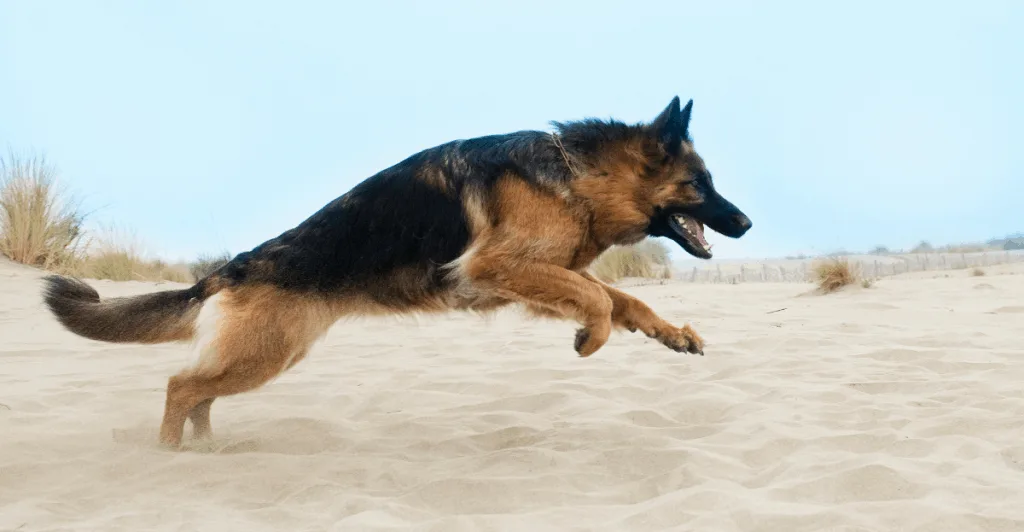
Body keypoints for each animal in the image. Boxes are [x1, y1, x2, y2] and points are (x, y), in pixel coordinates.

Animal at [41, 97, 753, 446]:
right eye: (700, 185)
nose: (746, 224)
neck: (577, 174)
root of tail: (230, 270)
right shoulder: (498, 266)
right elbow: (599, 299)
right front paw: (589, 339)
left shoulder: (534, 274)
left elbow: (622, 298)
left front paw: (672, 333)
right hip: (264, 354)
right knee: (179, 386)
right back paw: (169, 459)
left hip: (267, 353)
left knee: (198, 391)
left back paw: (208, 450)